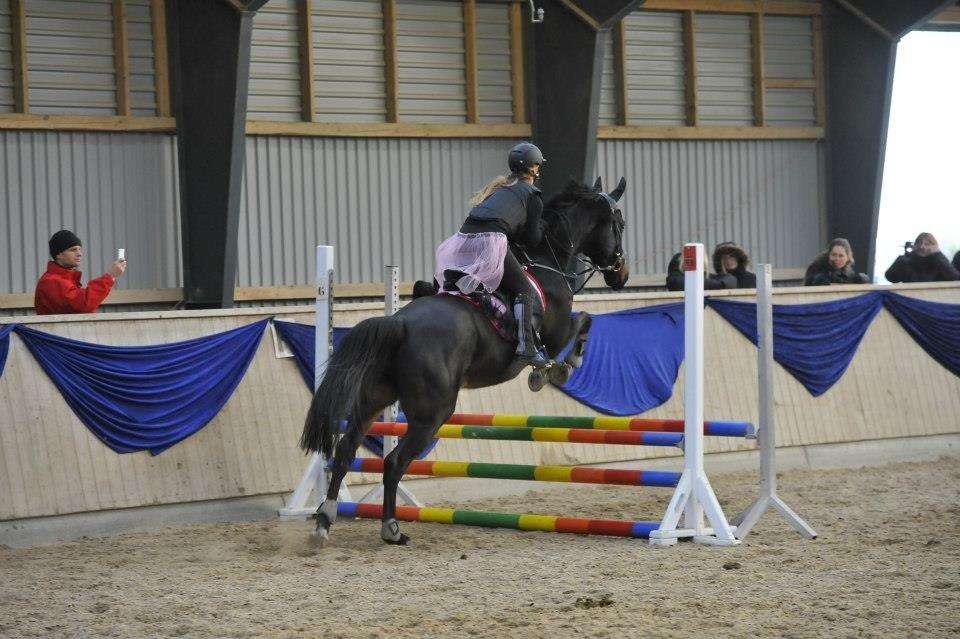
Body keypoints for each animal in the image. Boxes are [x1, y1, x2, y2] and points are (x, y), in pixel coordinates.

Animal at [300, 176, 632, 544]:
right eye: (619, 224)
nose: (621, 275)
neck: (548, 258)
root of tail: (399, 324)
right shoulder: (557, 330)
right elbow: (584, 321)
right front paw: (560, 367)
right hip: (432, 414)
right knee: (394, 462)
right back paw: (391, 528)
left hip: (374, 399)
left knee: (345, 451)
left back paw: (324, 520)